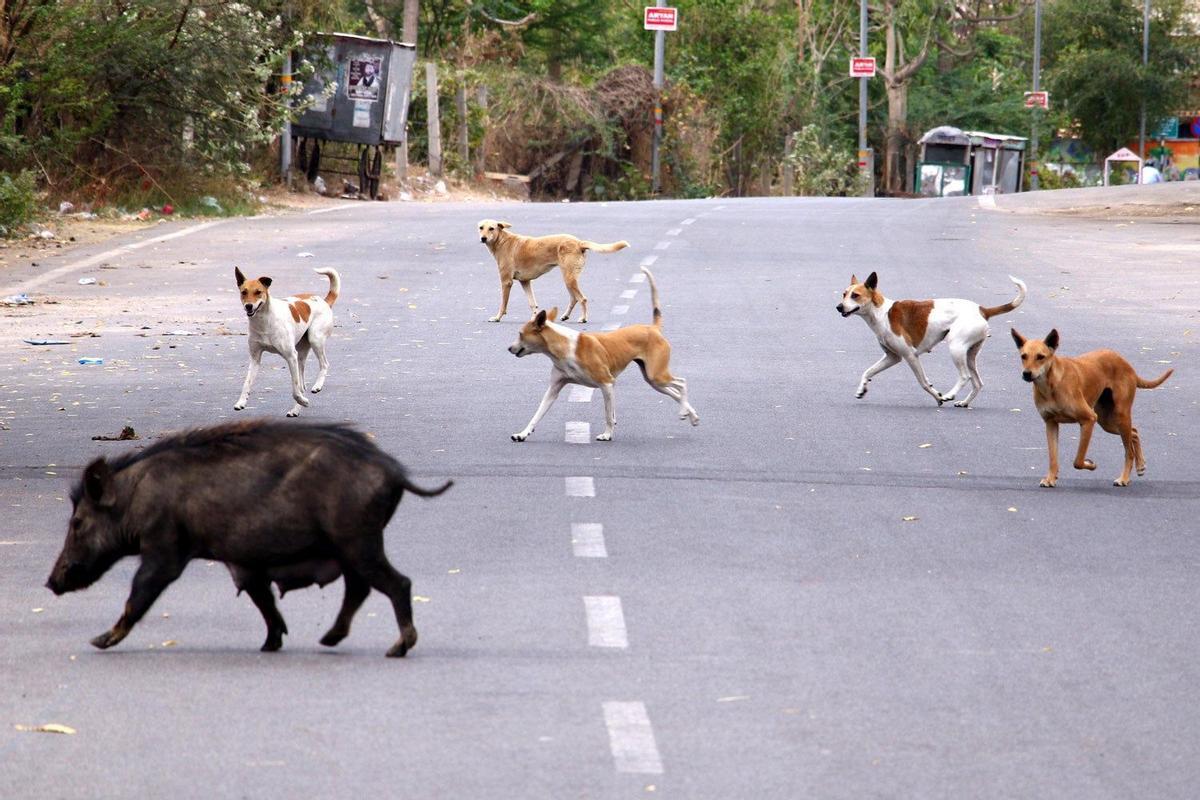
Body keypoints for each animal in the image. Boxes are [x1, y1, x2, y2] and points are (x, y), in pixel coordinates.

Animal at [234, 268, 340, 419]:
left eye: (258, 292)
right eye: (244, 292)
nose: (248, 306)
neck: (264, 321)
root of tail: (323, 301)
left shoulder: (291, 357)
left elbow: (295, 390)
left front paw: (304, 401)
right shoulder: (255, 359)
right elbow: (246, 383)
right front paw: (241, 402)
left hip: (315, 339)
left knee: (323, 365)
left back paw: (317, 386)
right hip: (301, 356)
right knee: (302, 386)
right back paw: (296, 409)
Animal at [475, 217, 633, 323]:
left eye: (491, 228)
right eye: (481, 227)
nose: (483, 238)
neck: (502, 241)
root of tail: (578, 242)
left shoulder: (506, 281)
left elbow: (503, 304)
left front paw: (497, 317)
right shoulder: (525, 282)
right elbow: (532, 303)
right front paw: (534, 319)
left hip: (569, 278)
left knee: (582, 298)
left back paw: (583, 318)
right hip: (569, 279)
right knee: (574, 299)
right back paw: (565, 315)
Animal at [504, 268, 696, 443]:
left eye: (520, 334)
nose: (509, 348)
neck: (565, 347)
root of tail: (653, 328)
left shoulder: (607, 384)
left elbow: (608, 415)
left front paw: (607, 434)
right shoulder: (554, 389)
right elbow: (537, 414)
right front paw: (522, 434)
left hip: (657, 375)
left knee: (682, 383)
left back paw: (684, 409)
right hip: (653, 379)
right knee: (675, 392)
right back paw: (690, 413)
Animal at [840, 272, 1027, 407]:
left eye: (855, 295)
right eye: (844, 294)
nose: (838, 307)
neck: (881, 313)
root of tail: (982, 310)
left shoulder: (910, 356)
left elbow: (923, 382)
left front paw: (937, 397)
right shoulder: (893, 357)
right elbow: (868, 371)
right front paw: (862, 389)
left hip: (956, 348)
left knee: (965, 376)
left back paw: (950, 395)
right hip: (969, 355)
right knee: (978, 383)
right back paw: (964, 402)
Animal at [1012, 326, 1171, 489]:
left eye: (1040, 357)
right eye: (1023, 356)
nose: (1026, 373)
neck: (1051, 385)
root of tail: (1126, 363)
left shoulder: (1088, 420)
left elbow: (1078, 460)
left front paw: (1090, 464)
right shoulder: (1051, 424)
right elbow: (1053, 457)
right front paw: (1050, 478)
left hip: (1118, 416)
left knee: (1129, 451)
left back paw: (1124, 478)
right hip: (1106, 420)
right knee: (1134, 432)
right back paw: (1140, 466)